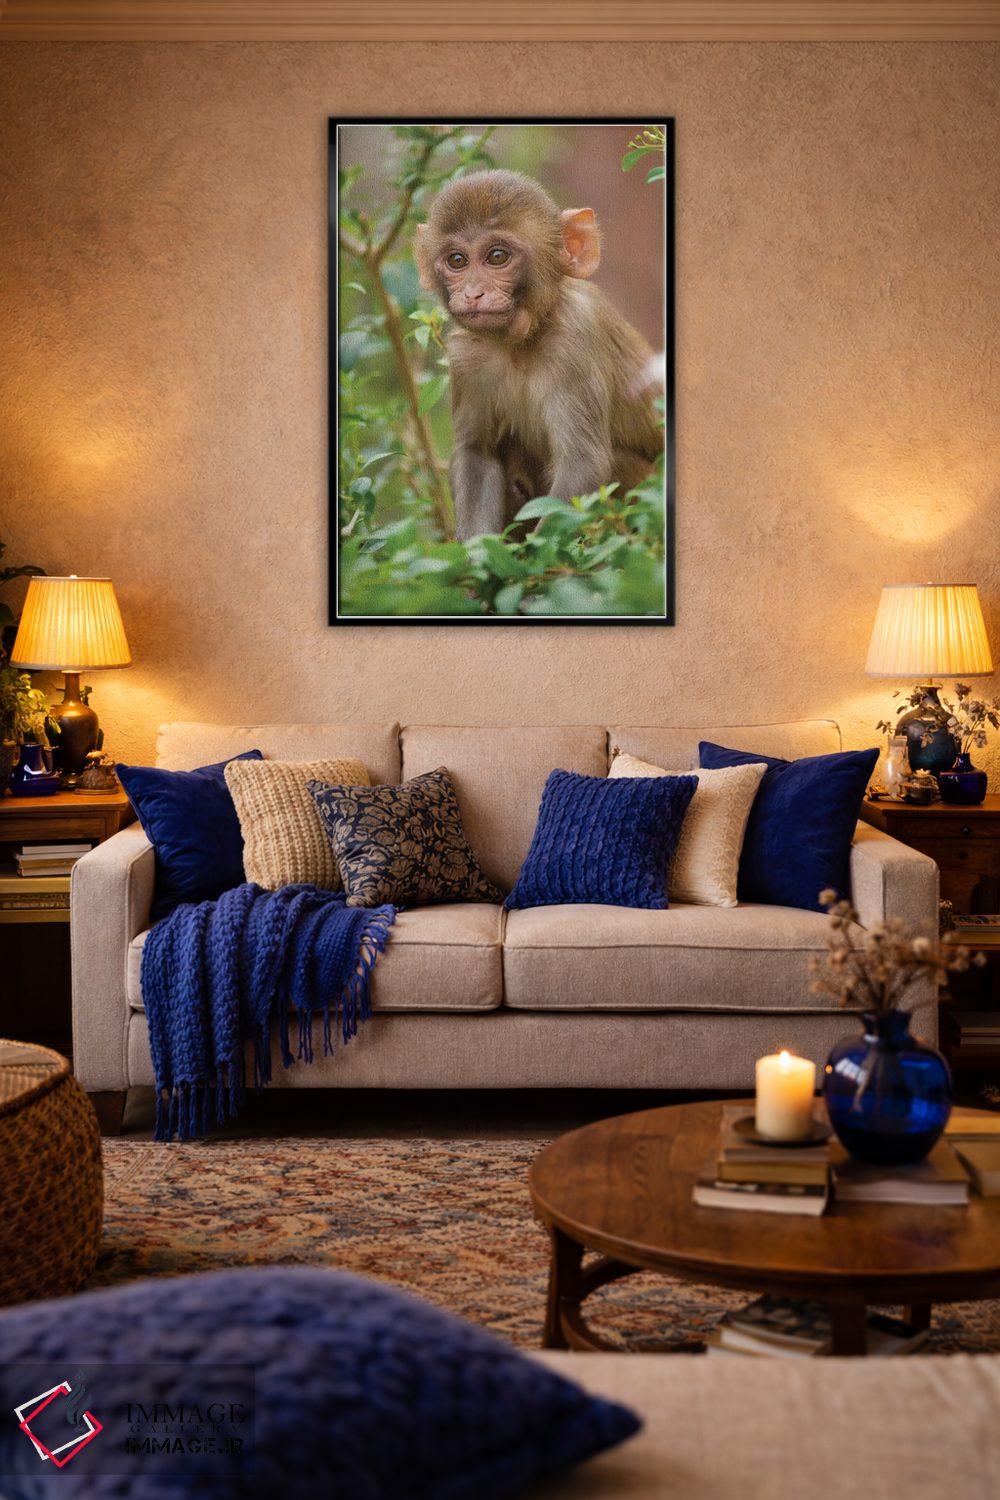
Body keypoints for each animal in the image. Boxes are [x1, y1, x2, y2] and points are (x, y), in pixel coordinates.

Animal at [415, 169, 664, 541]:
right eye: (457, 261)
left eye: (497, 256)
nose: (473, 293)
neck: (520, 342)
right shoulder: (466, 357)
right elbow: (477, 454)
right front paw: (477, 556)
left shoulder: (575, 338)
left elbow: (583, 465)